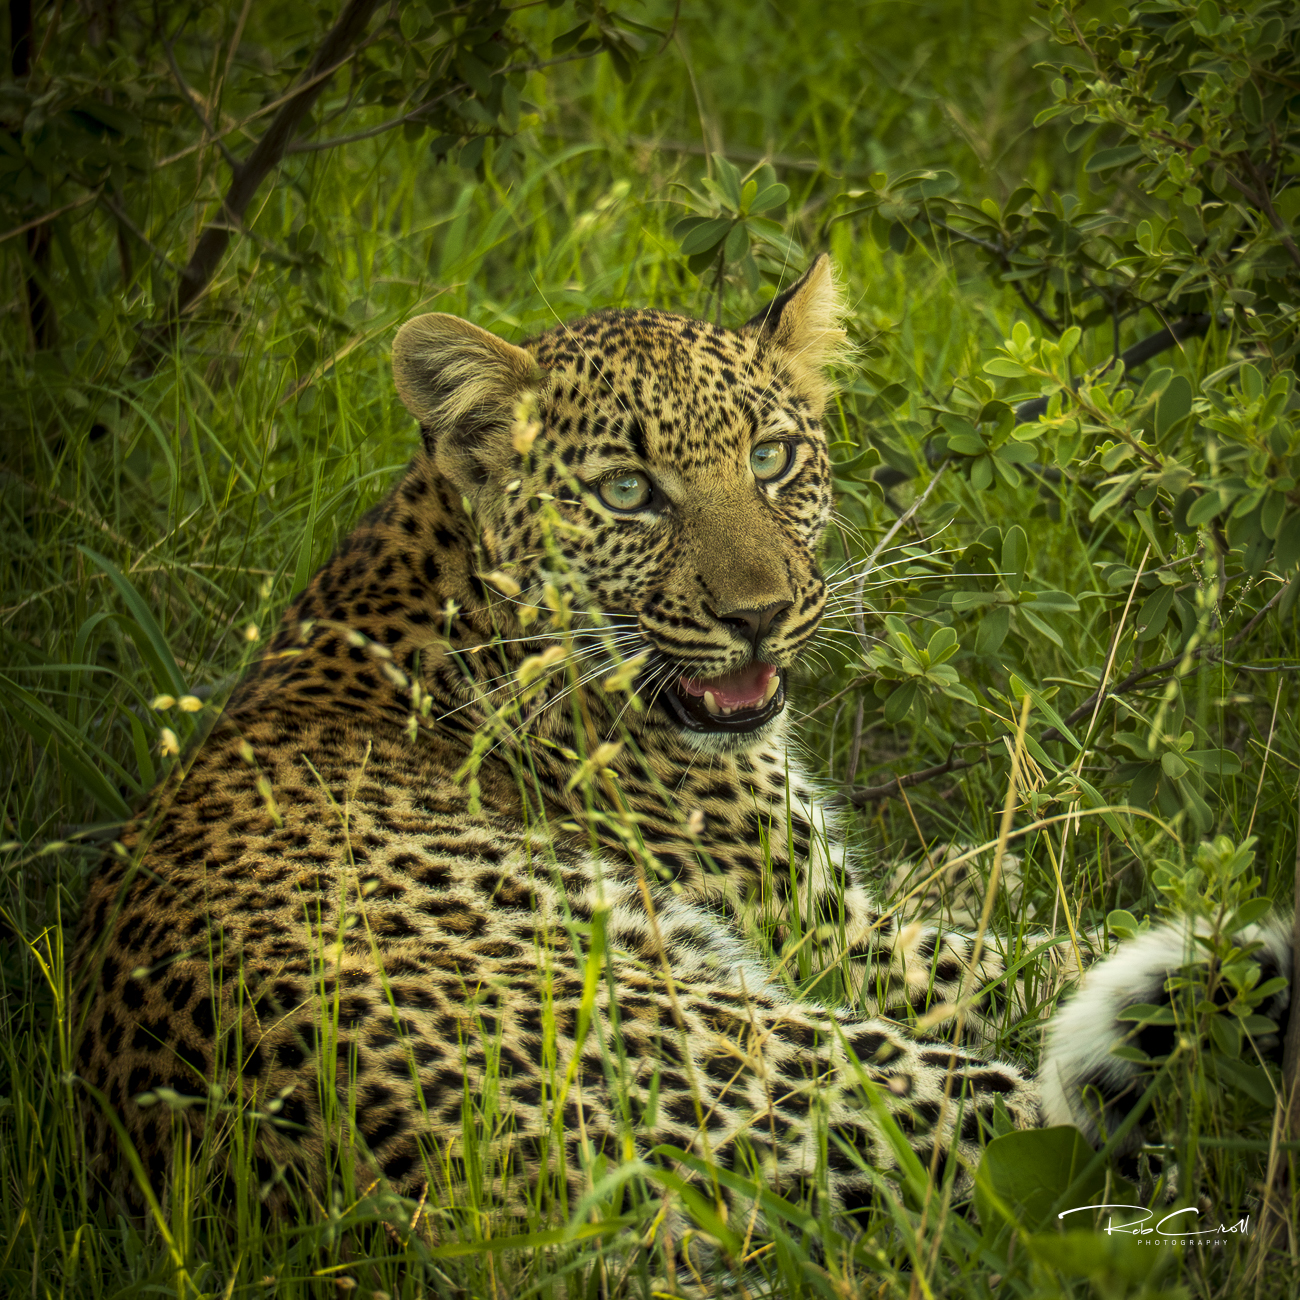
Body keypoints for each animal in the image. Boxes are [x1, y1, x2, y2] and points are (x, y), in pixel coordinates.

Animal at [71, 256, 1292, 1247]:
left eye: (773, 458)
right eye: (628, 492)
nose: (759, 615)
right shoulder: (846, 943)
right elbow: (1052, 950)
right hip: (816, 1062)